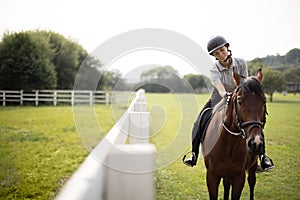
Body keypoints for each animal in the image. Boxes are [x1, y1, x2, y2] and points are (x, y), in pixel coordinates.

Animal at [203, 69, 266, 200]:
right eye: (239, 102)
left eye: (264, 101)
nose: (256, 143)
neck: (228, 143)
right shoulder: (211, 175)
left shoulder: (239, 176)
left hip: (252, 166)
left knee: (251, 182)